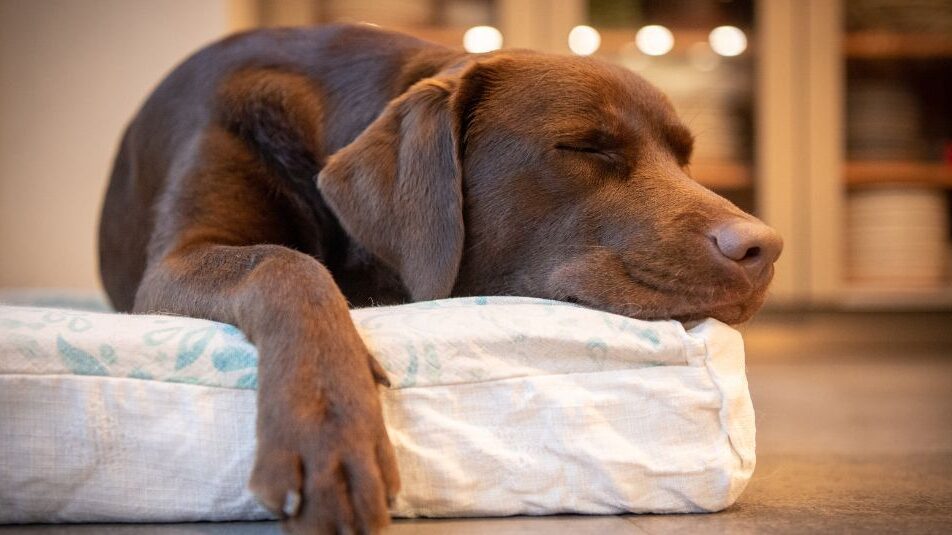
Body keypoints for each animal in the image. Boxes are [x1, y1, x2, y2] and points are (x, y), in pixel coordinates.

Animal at [98, 24, 780, 535]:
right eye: (587, 147)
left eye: (685, 159)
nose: (765, 247)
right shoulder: (176, 262)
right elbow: (287, 264)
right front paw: (328, 427)